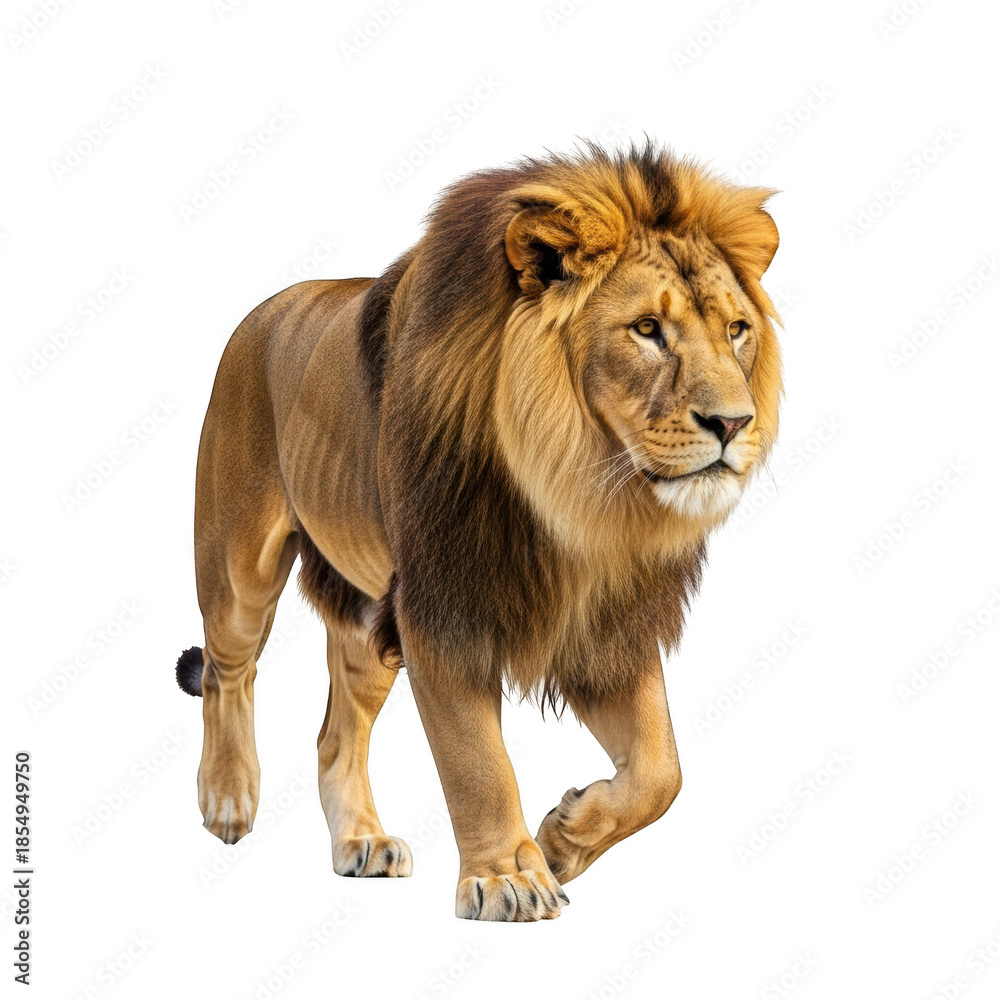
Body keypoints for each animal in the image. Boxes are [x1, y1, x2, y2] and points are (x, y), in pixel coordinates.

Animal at [175, 141, 782, 922]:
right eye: (647, 329)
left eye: (736, 330)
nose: (735, 424)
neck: (579, 493)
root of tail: (264, 308)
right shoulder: (443, 609)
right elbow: (478, 762)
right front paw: (508, 878)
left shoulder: (604, 622)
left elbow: (661, 771)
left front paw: (564, 838)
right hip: (238, 565)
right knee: (230, 671)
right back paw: (227, 796)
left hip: (369, 622)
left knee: (335, 737)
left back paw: (361, 842)